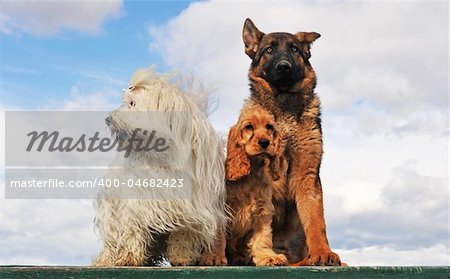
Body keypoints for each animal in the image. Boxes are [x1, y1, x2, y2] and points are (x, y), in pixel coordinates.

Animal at [95, 68, 229, 266]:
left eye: (132, 103)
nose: (107, 119)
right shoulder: (138, 200)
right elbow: (132, 228)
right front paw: (129, 257)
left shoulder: (191, 206)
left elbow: (184, 234)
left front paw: (181, 256)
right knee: (112, 240)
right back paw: (106, 260)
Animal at [239, 18, 342, 266]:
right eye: (269, 50)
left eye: (294, 49)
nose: (283, 66)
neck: (283, 107)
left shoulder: (307, 174)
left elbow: (316, 222)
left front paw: (322, 252)